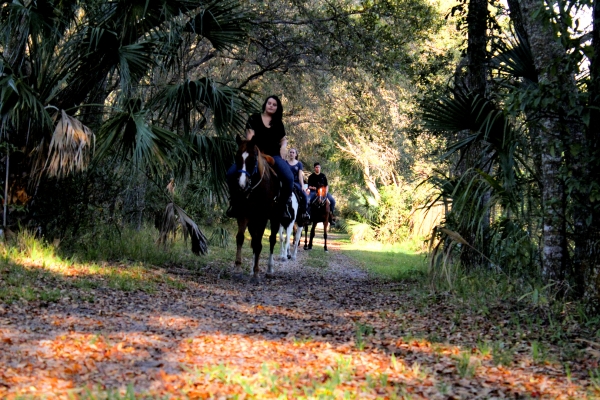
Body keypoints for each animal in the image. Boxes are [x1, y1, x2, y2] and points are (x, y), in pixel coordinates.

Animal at [232, 136, 284, 282]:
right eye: (237, 157)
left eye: (253, 159)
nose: (241, 185)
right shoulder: (243, 214)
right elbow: (240, 238)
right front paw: (238, 268)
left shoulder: (263, 217)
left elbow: (259, 243)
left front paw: (256, 273)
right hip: (252, 220)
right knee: (254, 239)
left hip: (275, 218)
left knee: (271, 240)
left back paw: (269, 270)